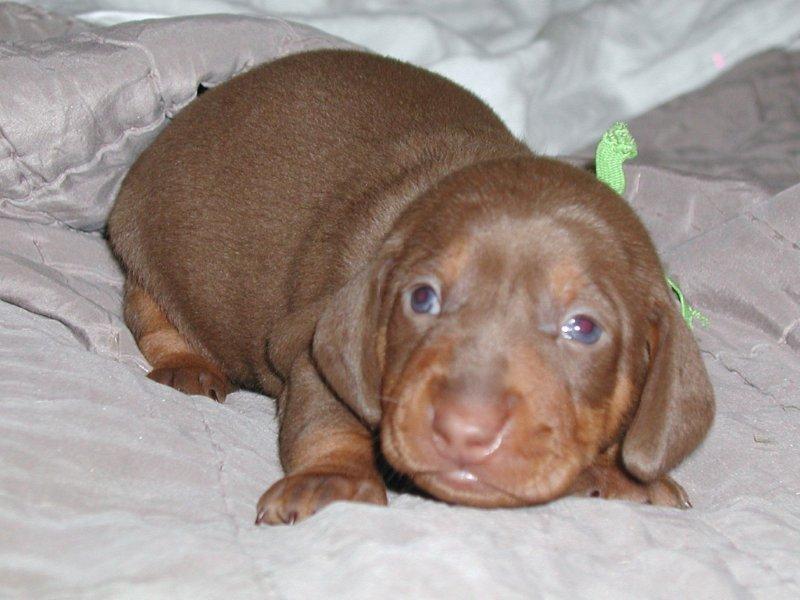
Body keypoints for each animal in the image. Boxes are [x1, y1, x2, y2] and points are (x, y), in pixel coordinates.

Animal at [106, 49, 712, 524]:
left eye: (583, 329)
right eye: (423, 299)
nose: (464, 430)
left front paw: (622, 475)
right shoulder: (312, 344)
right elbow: (326, 418)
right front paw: (335, 480)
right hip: (142, 245)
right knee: (150, 315)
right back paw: (188, 365)